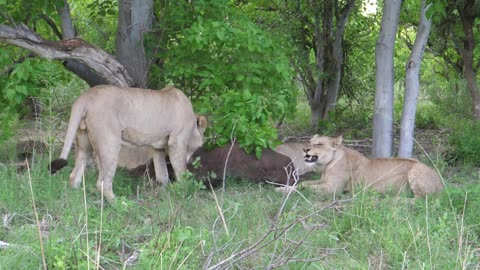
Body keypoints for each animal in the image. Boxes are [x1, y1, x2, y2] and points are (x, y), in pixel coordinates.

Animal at [50, 85, 206, 201]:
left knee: (74, 175)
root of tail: (85, 96)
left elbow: (162, 174)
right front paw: (183, 192)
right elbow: (181, 171)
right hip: (110, 144)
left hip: (84, 144)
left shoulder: (158, 148)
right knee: (103, 183)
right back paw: (120, 204)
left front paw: (164, 194)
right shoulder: (177, 141)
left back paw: (77, 199)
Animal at [302, 135, 444, 196]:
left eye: (319, 144)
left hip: (416, 168)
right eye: (309, 141)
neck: (327, 166)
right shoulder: (323, 181)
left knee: (421, 199)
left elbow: (307, 188)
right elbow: (304, 183)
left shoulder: (333, 189)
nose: (304, 149)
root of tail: (442, 184)